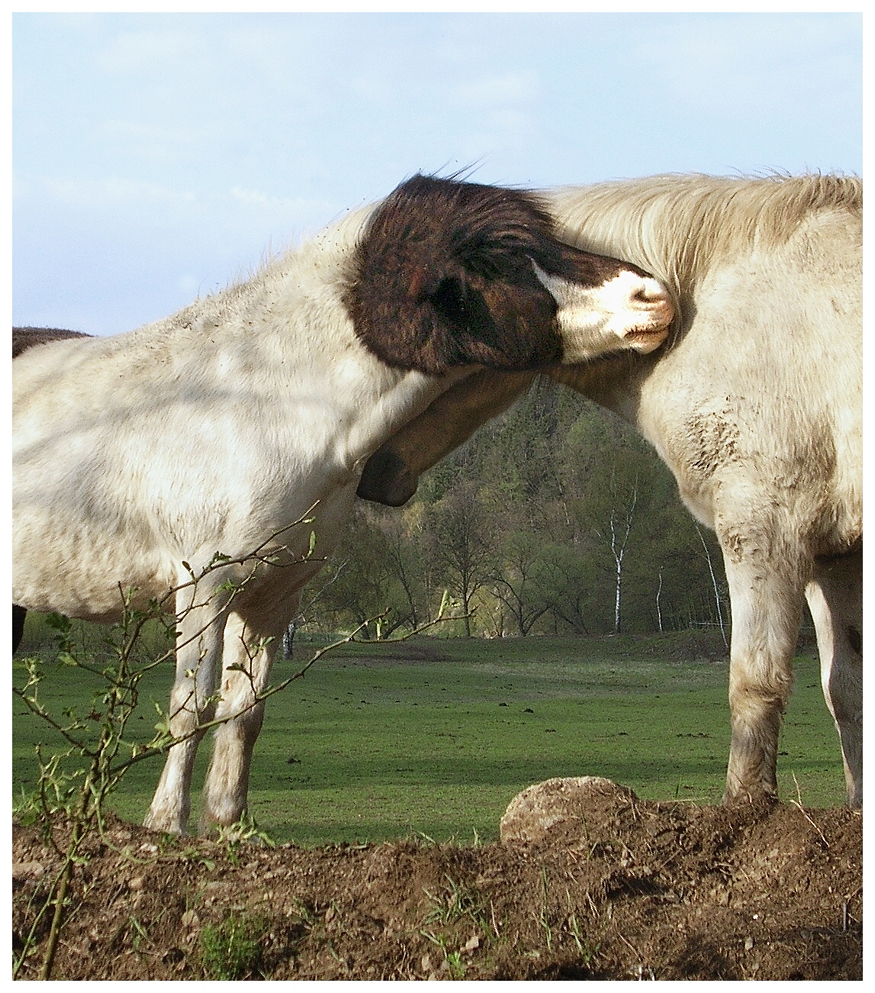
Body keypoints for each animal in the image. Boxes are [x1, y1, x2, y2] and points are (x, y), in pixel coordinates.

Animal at [12, 174, 676, 832]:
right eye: (495, 257)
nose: (654, 296)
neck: (264, 406)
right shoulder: (204, 586)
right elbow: (190, 708)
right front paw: (166, 826)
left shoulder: (274, 594)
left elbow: (245, 712)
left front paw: (228, 828)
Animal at [360, 172, 864, 808]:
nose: (367, 472)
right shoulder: (835, 554)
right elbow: (847, 692)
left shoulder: (765, 530)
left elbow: (756, 684)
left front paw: (746, 811)